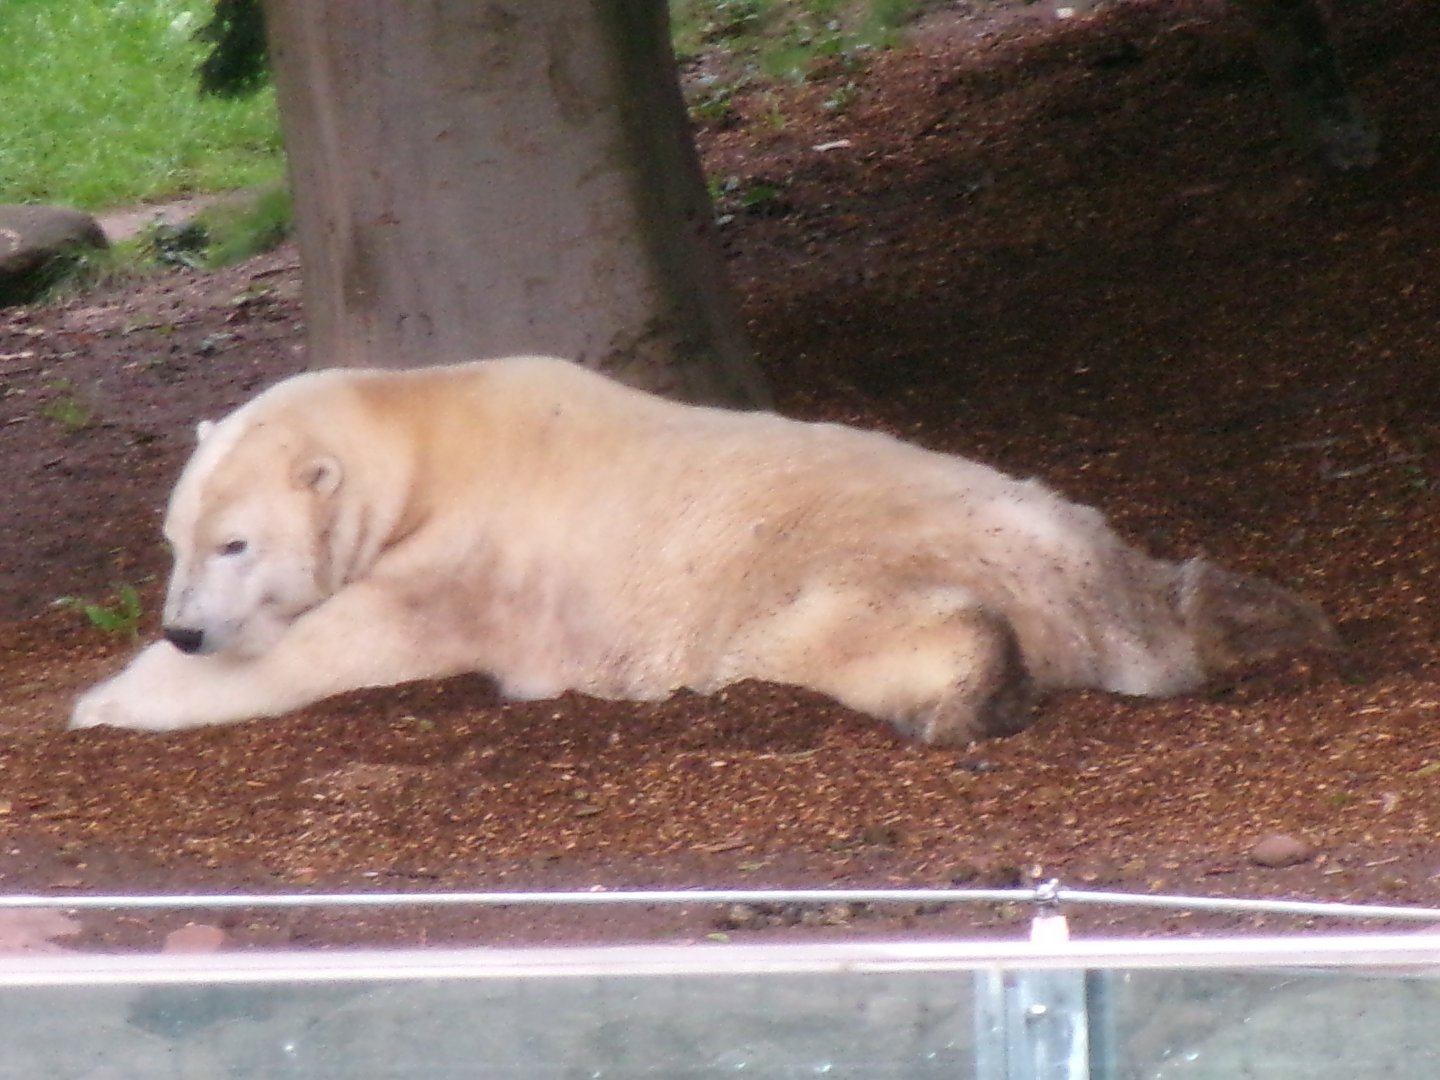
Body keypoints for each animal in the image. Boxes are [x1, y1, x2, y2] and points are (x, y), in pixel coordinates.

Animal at [69, 356, 1336, 744]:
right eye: (174, 537)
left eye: (235, 543)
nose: (184, 624)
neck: (426, 428)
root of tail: (1110, 614)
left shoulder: (465, 566)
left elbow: (332, 648)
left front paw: (106, 699)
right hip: (1116, 552)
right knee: (1200, 584)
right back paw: (1278, 619)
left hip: (840, 571)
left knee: (853, 632)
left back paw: (967, 695)